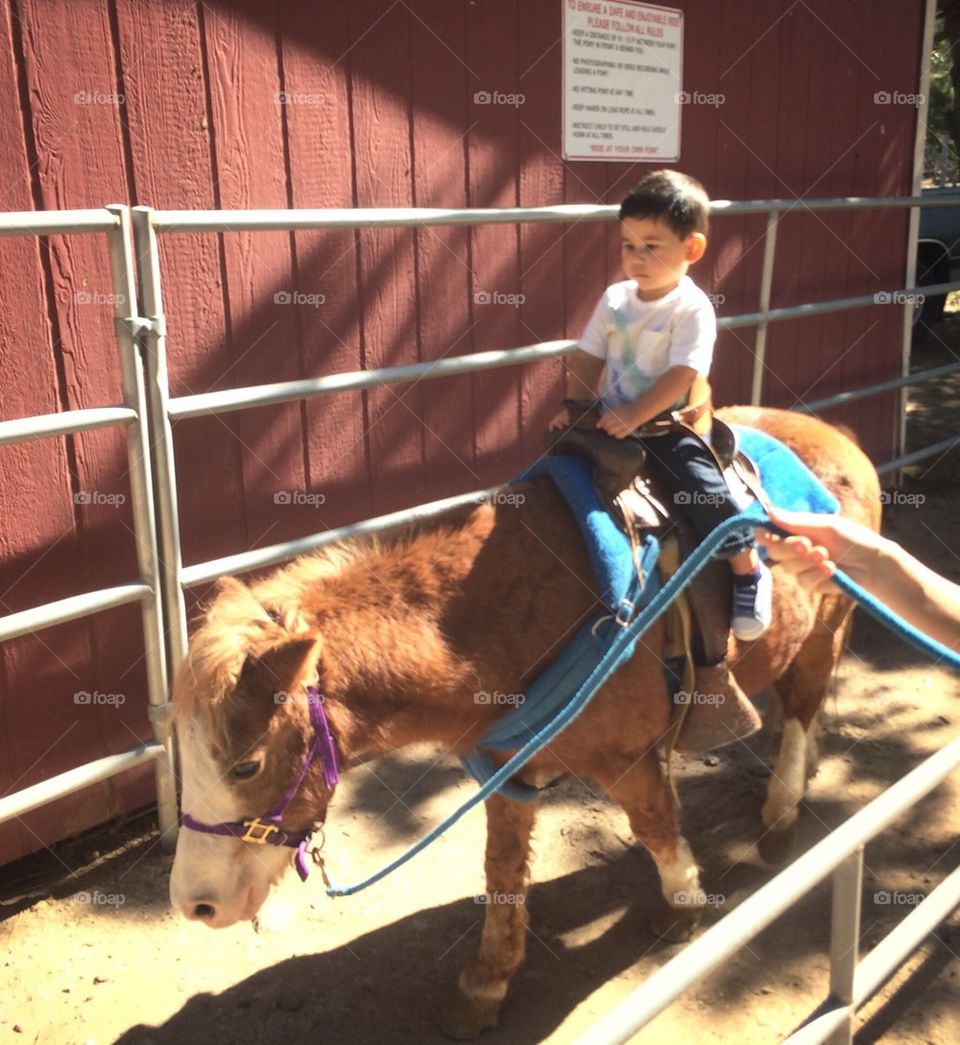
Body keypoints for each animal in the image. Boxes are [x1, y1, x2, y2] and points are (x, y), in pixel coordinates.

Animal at [168, 405, 880, 1037]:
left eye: (246, 764)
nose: (194, 903)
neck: (499, 618)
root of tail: (833, 436)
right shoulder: (505, 769)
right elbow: (502, 870)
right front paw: (487, 983)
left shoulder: (627, 760)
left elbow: (656, 827)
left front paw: (682, 909)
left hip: (825, 631)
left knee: (802, 708)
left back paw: (781, 814)